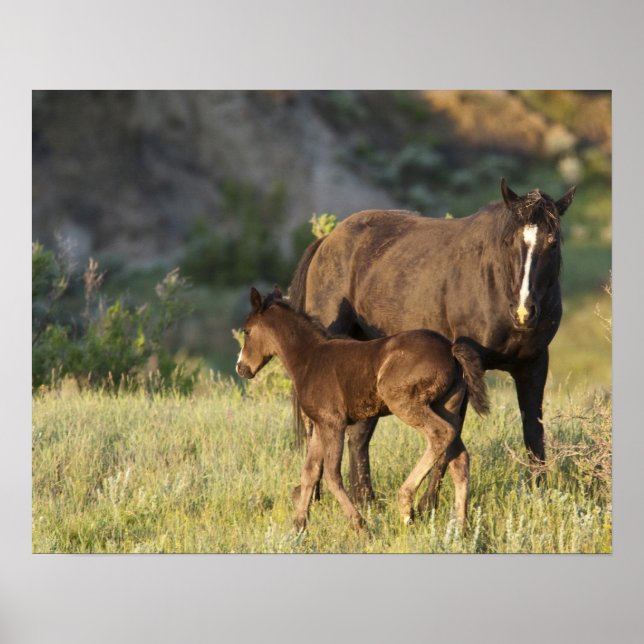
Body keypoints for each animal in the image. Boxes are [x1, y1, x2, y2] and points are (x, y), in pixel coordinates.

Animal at [236, 286, 489, 531]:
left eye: (247, 331)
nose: (241, 368)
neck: (309, 359)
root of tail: (451, 349)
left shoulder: (333, 423)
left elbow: (331, 475)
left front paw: (359, 524)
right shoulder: (320, 424)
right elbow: (310, 472)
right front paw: (298, 526)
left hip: (405, 403)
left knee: (440, 434)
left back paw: (406, 505)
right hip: (448, 405)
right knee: (459, 458)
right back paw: (461, 527)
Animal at [289, 178, 575, 508]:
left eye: (552, 243)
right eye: (509, 243)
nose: (524, 311)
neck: (495, 283)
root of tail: (327, 240)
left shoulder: (533, 365)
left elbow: (533, 432)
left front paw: (539, 495)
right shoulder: (466, 369)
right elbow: (453, 433)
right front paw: (428, 504)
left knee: (359, 433)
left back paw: (365, 499)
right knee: (318, 425)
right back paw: (315, 495)